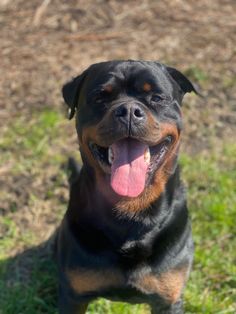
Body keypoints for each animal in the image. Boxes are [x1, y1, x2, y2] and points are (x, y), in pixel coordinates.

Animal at [56, 60, 196, 312]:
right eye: (100, 96)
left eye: (156, 97)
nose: (129, 110)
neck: (130, 209)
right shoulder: (73, 296)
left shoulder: (168, 300)